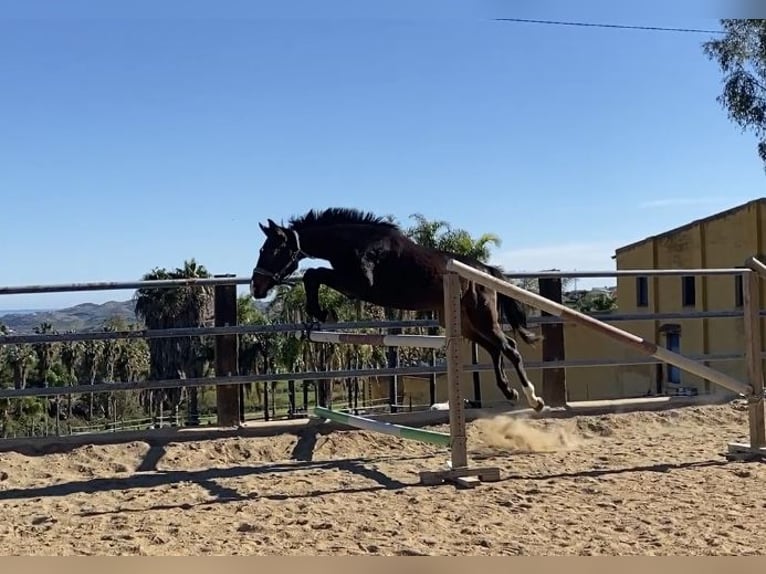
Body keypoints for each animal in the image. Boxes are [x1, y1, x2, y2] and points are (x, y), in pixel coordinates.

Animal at [249, 207, 545, 412]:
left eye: (270, 250)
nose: (255, 287)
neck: (353, 242)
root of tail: (487, 271)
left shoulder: (360, 284)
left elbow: (314, 273)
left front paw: (322, 312)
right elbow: (313, 275)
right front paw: (321, 313)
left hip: (481, 316)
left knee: (509, 347)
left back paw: (534, 399)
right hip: (464, 323)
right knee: (495, 348)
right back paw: (509, 392)